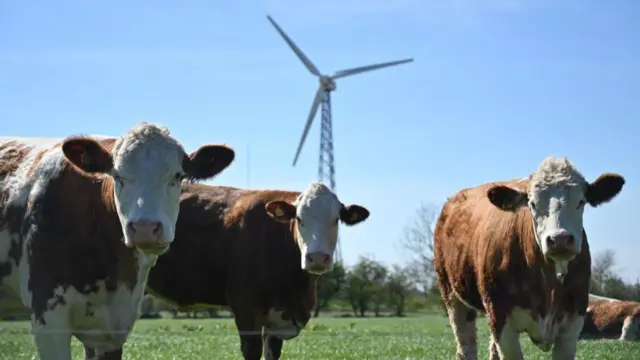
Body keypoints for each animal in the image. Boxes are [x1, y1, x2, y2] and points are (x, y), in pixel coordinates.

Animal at [142, 183, 368, 360]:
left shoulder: (277, 322)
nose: (318, 258)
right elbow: (252, 351)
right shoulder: (246, 307)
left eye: (336, 219)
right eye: (299, 219)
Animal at [430, 157, 624, 360]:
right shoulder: (500, 317)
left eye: (581, 201)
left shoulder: (573, 319)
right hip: (452, 295)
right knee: (465, 346)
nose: (560, 239)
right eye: (532, 204)